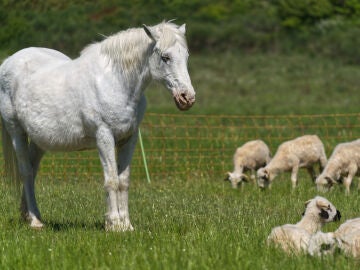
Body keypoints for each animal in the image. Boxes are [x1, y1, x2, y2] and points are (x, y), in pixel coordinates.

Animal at [0, 21, 194, 232]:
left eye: (186, 56)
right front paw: (114, 224)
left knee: (33, 170)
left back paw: (28, 215)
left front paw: (127, 225)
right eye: (165, 57)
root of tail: (8, 61)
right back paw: (35, 221)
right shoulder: (104, 136)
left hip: (39, 140)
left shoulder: (129, 138)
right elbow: (111, 180)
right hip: (16, 131)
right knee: (26, 172)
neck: (116, 82)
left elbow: (123, 181)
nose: (187, 98)